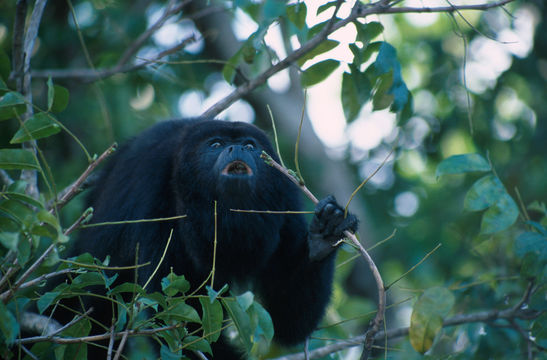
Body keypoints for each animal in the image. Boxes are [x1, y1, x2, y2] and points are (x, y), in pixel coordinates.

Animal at [69, 119, 360, 358]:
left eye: (250, 145)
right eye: (216, 144)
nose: (237, 149)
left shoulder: (285, 198)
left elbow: (289, 323)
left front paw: (323, 236)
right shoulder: (153, 189)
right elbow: (174, 317)